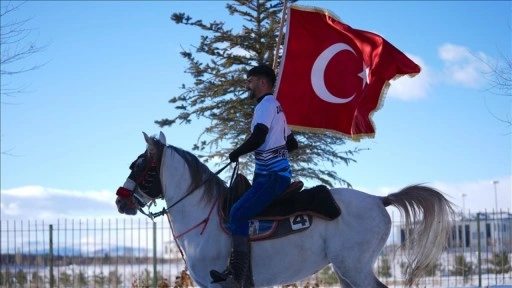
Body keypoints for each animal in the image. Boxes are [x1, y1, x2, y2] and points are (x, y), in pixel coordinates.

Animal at [119, 132, 456, 286]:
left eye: (139, 165)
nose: (120, 200)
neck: (203, 218)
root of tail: (379, 199)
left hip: (355, 268)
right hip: (347, 269)